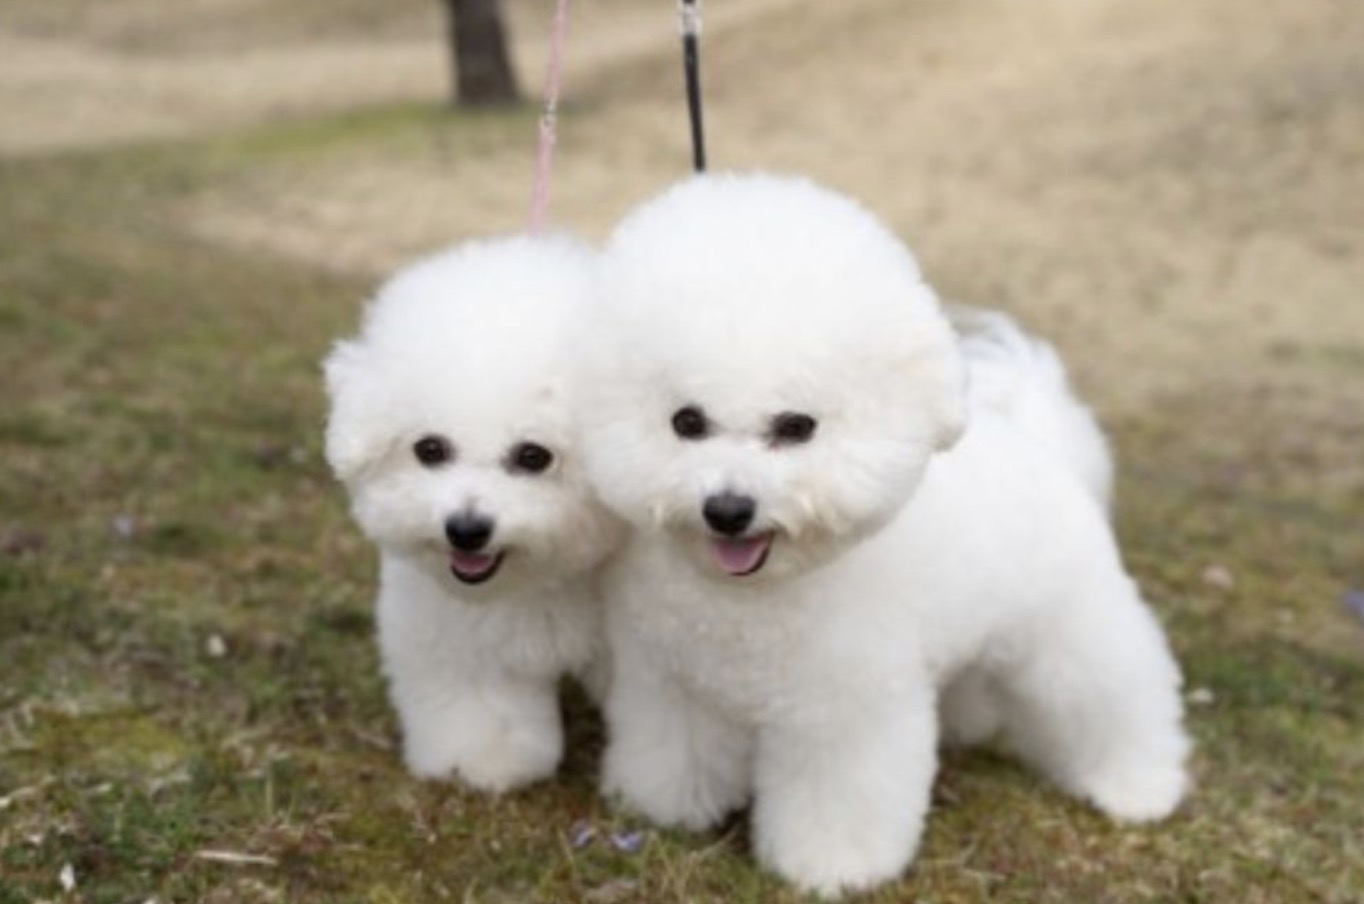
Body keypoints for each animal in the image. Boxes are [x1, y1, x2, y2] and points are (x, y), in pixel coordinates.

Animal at [323, 234, 620, 793]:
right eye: (430, 449)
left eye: (533, 456)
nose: (466, 530)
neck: (542, 576)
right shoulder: (461, 635)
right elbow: (482, 707)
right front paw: (481, 764)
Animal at [575, 173, 1189, 896]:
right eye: (687, 422)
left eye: (797, 426)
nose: (728, 509)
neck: (752, 600)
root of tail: (1041, 440)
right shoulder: (675, 684)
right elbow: (676, 752)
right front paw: (668, 810)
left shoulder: (844, 711)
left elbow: (838, 796)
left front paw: (832, 869)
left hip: (1069, 623)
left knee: (1114, 692)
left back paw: (1138, 784)